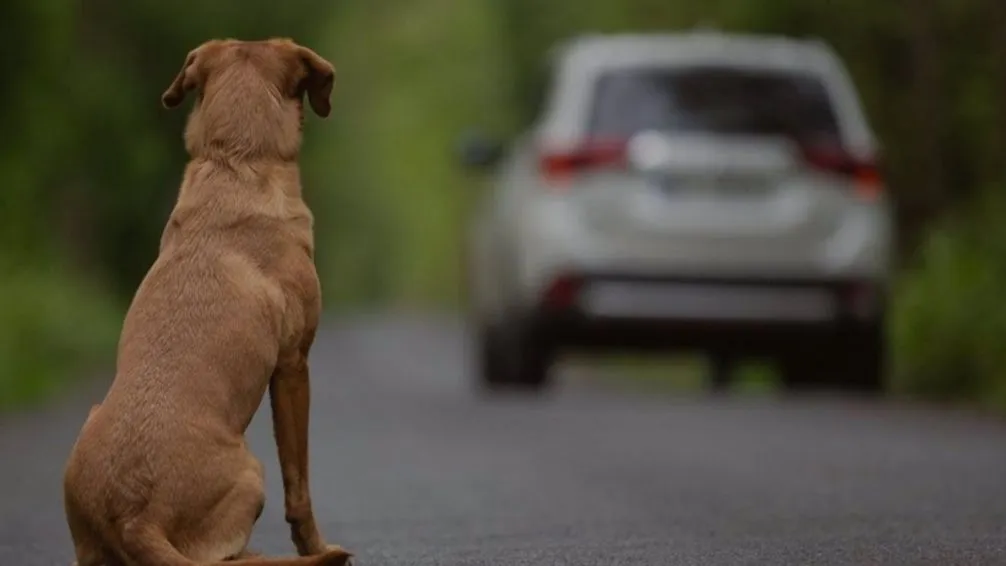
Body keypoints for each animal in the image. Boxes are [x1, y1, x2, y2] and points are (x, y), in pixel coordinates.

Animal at [61, 37, 354, 562]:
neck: (236, 161)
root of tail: (135, 519)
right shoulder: (293, 365)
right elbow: (299, 484)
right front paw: (314, 545)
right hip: (252, 472)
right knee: (225, 553)